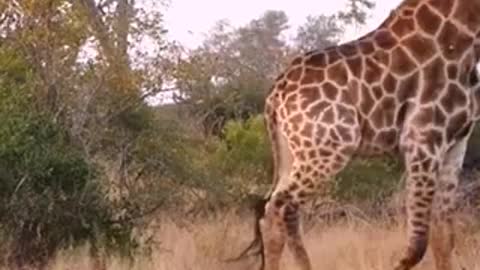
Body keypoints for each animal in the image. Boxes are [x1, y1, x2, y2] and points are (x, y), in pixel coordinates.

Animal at [253, 0, 480, 270]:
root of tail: (275, 95)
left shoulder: (456, 144)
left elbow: (444, 236)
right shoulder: (422, 139)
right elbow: (418, 243)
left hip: (294, 153)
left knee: (277, 210)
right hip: (328, 148)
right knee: (278, 207)